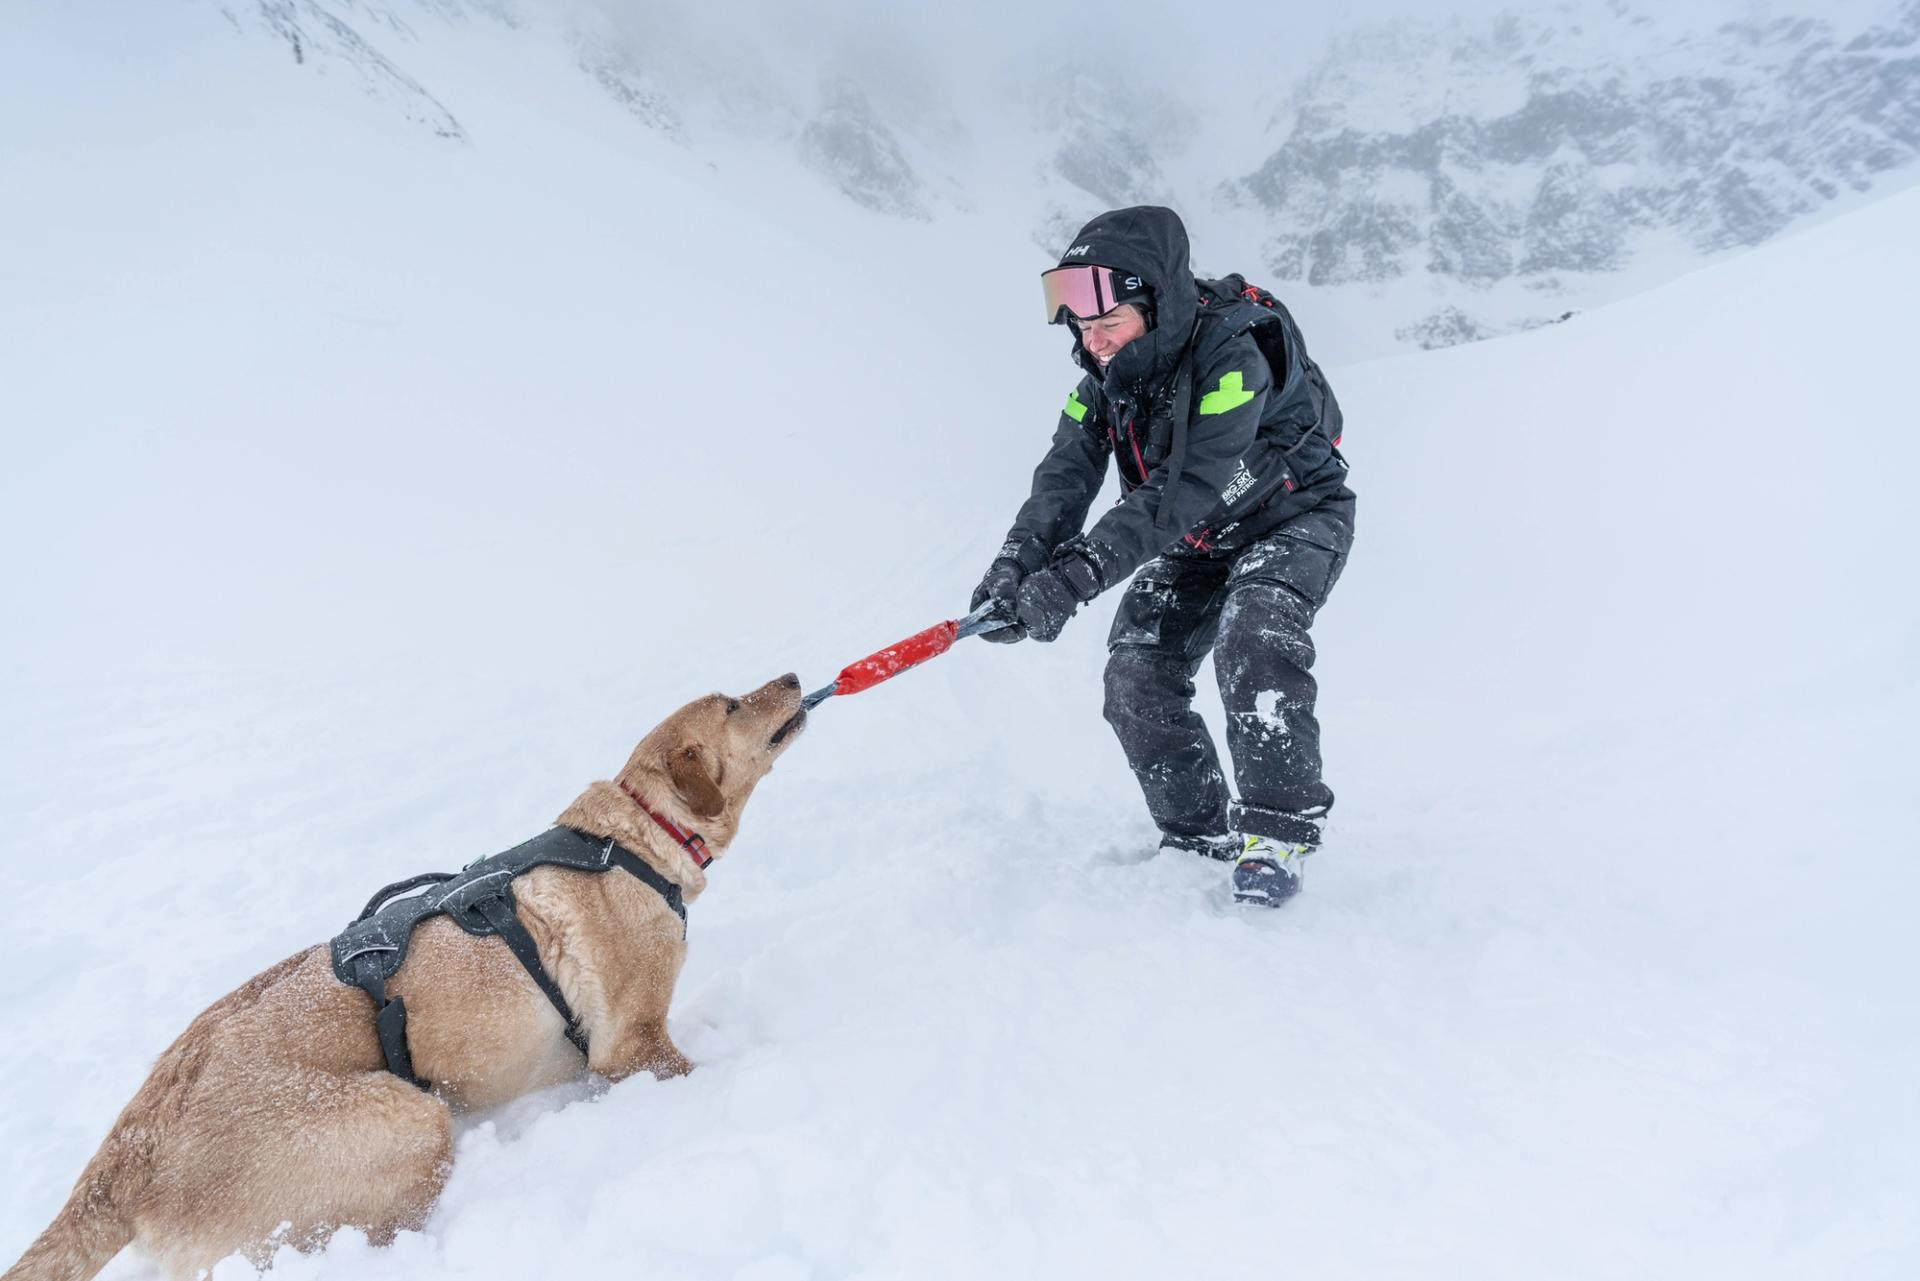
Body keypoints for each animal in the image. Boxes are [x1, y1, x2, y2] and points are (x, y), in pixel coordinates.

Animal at [3, 676, 806, 1275]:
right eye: (733, 704)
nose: (796, 676)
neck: (633, 835)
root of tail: (127, 1153)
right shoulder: (633, 1046)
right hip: (411, 1118)